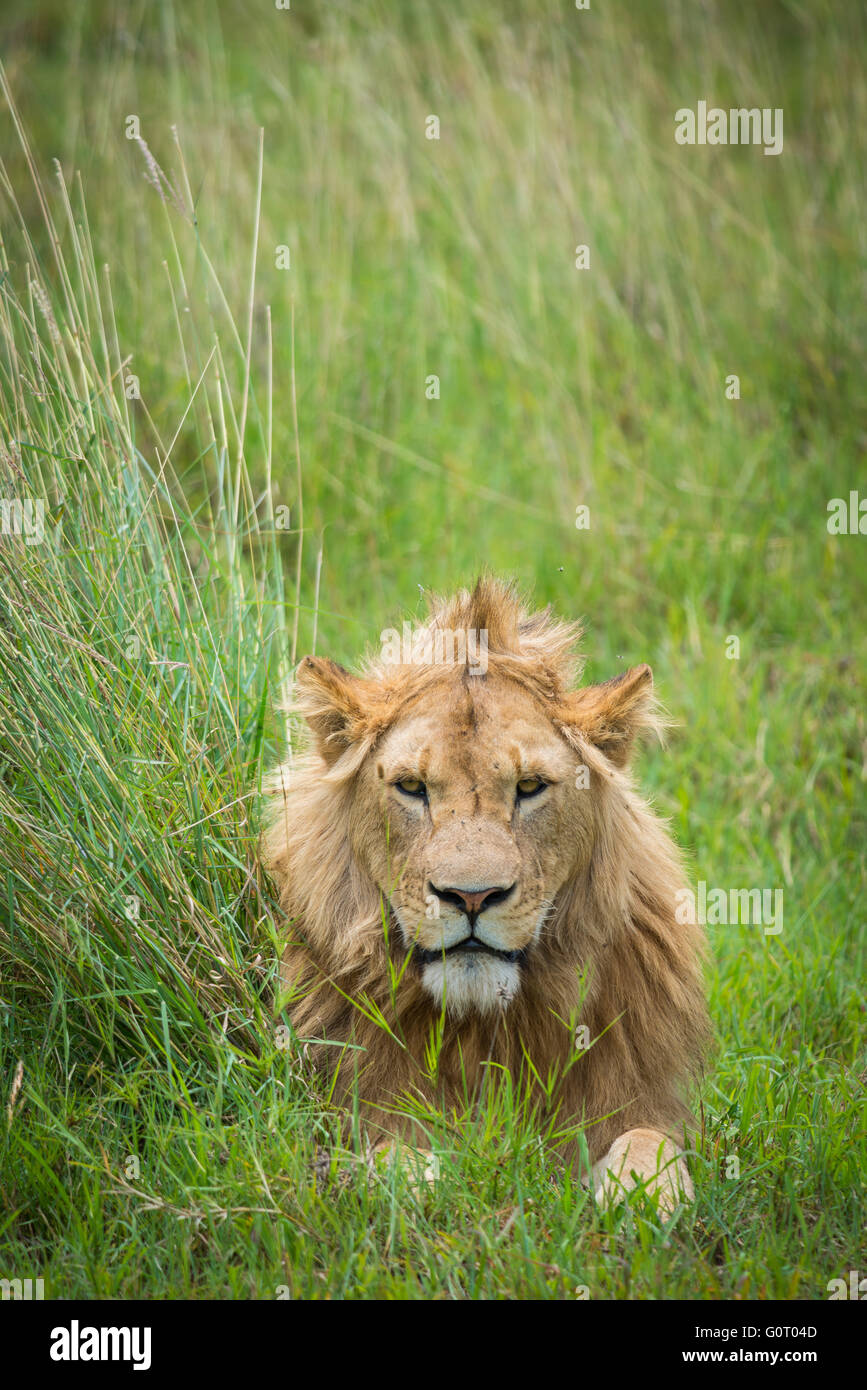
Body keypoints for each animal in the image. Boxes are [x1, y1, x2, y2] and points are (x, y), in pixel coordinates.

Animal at [263, 578, 710, 1211]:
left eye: (530, 787)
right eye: (411, 787)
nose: (471, 898)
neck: (481, 1031)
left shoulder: (636, 1095)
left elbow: (649, 1144)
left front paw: (646, 1201)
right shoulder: (356, 1109)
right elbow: (394, 1151)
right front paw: (421, 1185)